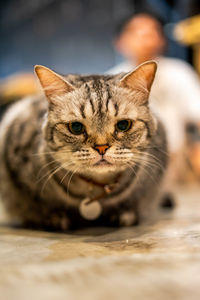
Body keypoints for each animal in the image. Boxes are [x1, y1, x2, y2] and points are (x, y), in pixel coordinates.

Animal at [0, 61, 168, 230]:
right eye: (76, 127)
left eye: (123, 125)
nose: (102, 147)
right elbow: (35, 205)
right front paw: (54, 217)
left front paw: (126, 214)